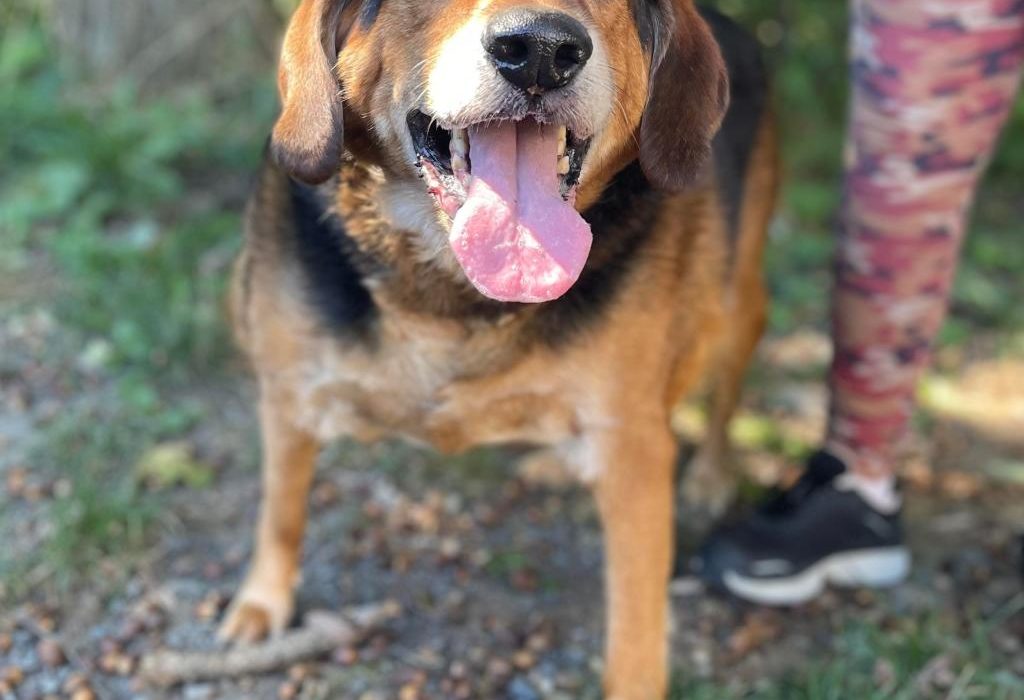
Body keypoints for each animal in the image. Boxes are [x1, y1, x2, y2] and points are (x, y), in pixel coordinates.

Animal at [220, 1, 776, 697]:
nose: (540, 51)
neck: (450, 287)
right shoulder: (287, 390)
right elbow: (281, 509)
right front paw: (263, 601)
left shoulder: (633, 447)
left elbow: (635, 626)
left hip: (736, 300)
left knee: (727, 384)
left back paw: (708, 476)